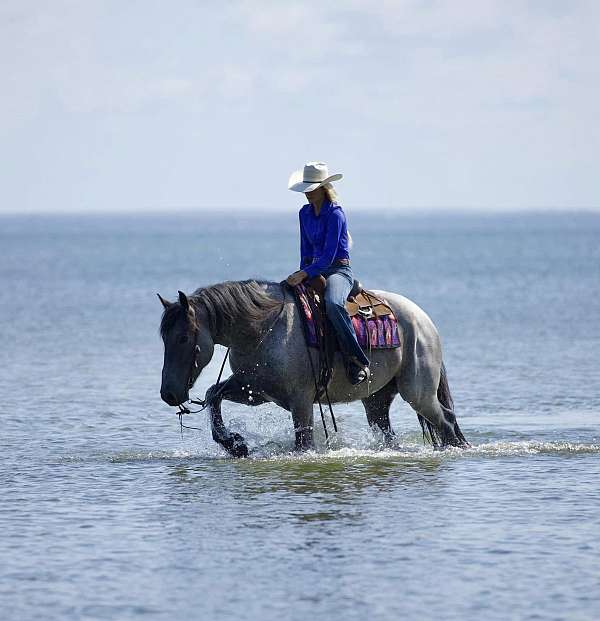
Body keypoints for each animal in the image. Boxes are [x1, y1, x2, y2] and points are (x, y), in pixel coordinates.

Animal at [157, 280, 466, 456]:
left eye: (183, 338)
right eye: (164, 337)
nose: (169, 393)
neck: (262, 328)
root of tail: (424, 322)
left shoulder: (301, 400)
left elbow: (303, 443)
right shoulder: (254, 390)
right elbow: (213, 394)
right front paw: (234, 444)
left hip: (418, 393)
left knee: (446, 421)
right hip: (377, 401)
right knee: (390, 434)